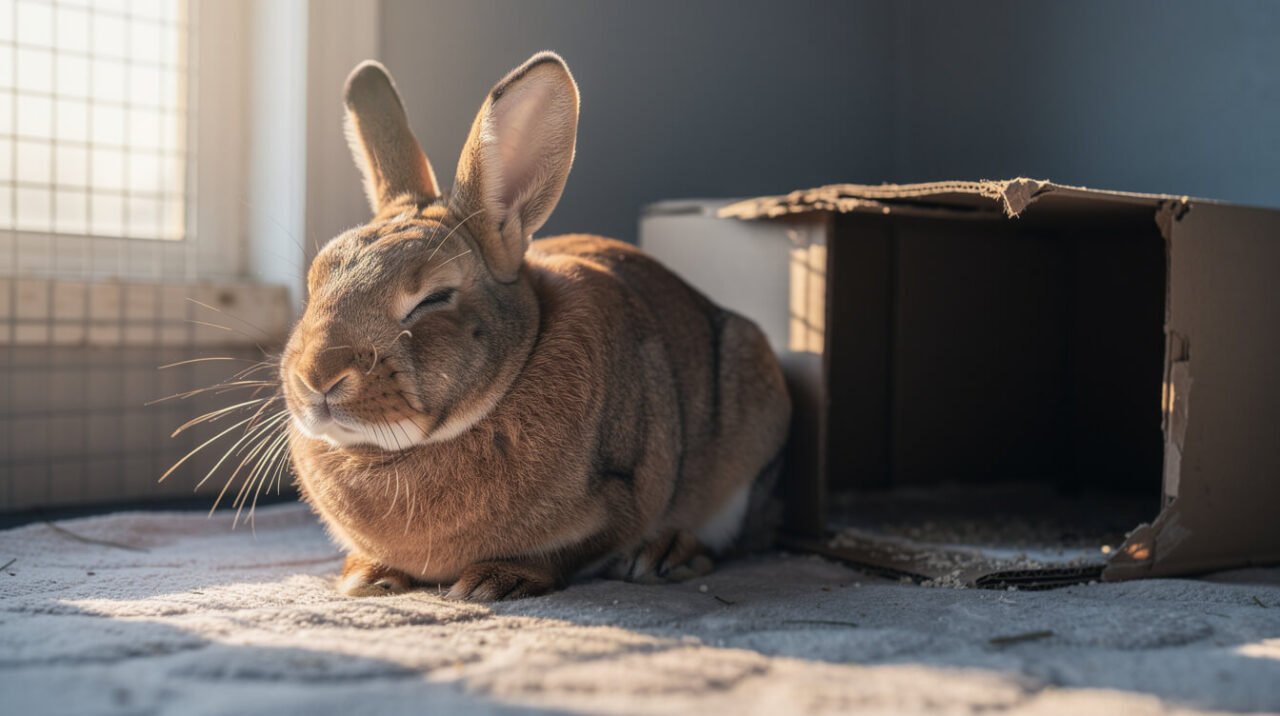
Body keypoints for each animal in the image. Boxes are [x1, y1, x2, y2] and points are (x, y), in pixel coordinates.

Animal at [281, 51, 791, 601]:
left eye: (434, 298)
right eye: (315, 281)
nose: (317, 377)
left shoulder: (619, 497)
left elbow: (568, 550)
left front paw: (492, 582)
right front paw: (368, 577)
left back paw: (665, 555)